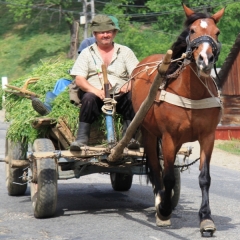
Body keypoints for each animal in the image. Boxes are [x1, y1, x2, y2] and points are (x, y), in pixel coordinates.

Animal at [130, 3, 224, 236]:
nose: (205, 60)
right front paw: (164, 210)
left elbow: (204, 178)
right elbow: (168, 177)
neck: (191, 94)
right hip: (149, 133)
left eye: (216, 32)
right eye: (192, 30)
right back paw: (160, 200)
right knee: (156, 168)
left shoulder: (208, 136)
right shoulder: (169, 137)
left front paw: (206, 218)